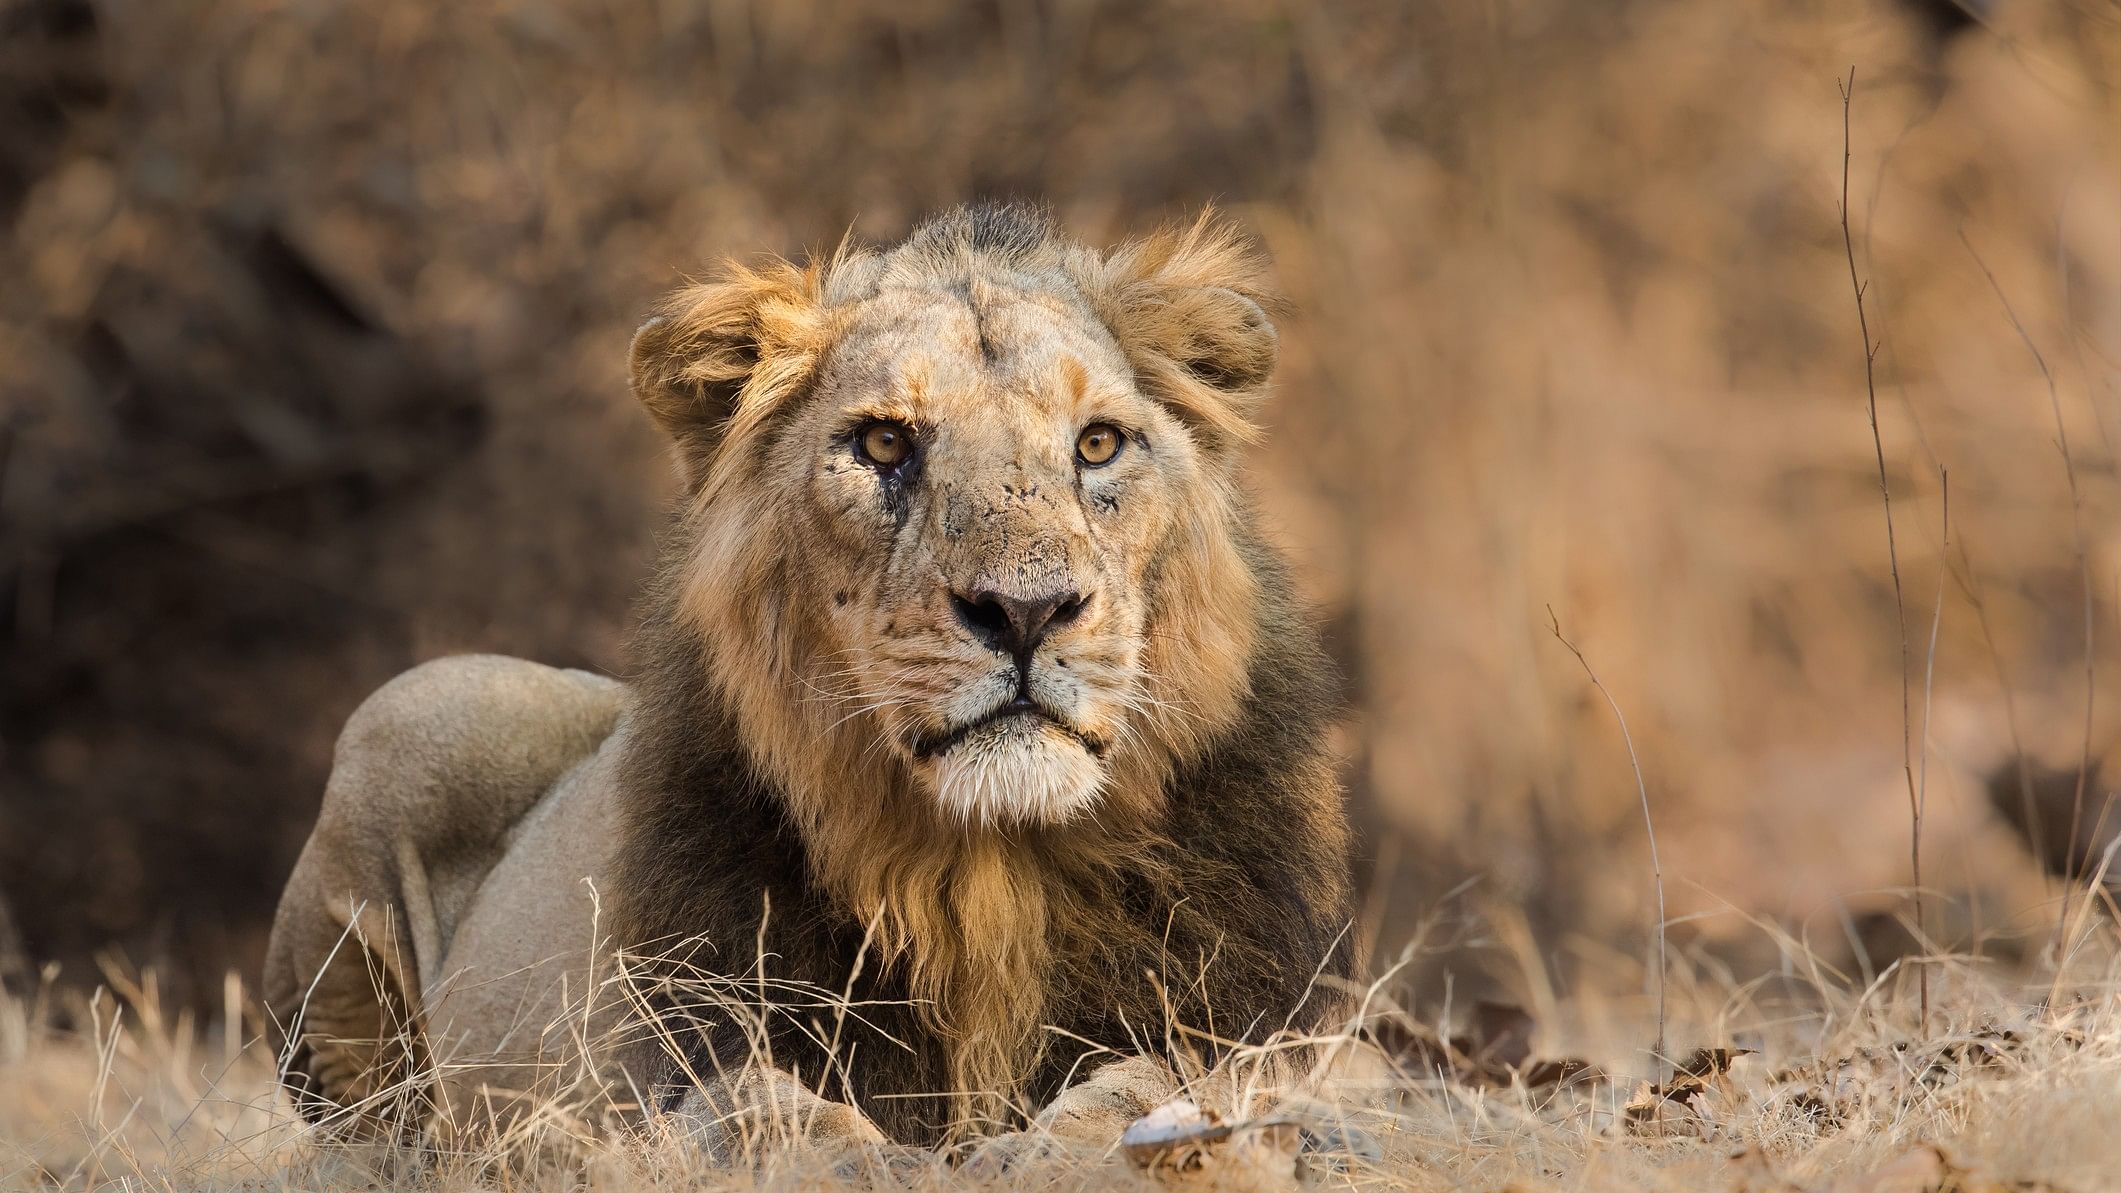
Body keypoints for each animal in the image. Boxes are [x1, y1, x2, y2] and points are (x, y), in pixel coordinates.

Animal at [265, 199, 1357, 1154]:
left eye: (1097, 443)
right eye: (884, 441)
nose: (1026, 611)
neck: (988, 873)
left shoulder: (1263, 1028)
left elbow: (1158, 1080)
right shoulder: (668, 1054)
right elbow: (757, 1107)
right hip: (415, 709)